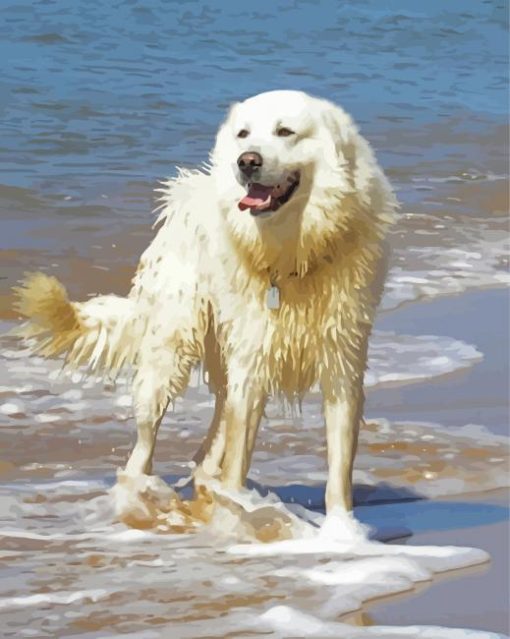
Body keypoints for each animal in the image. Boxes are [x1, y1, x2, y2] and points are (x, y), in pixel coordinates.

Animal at [13, 90, 396, 516]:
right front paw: (237, 508)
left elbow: (339, 465)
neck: (293, 254)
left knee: (214, 429)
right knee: (145, 442)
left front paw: (341, 525)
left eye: (285, 131)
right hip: (171, 349)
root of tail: (184, 194)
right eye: (244, 133)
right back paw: (143, 490)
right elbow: (239, 453)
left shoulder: (343, 361)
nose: (247, 161)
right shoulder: (252, 357)